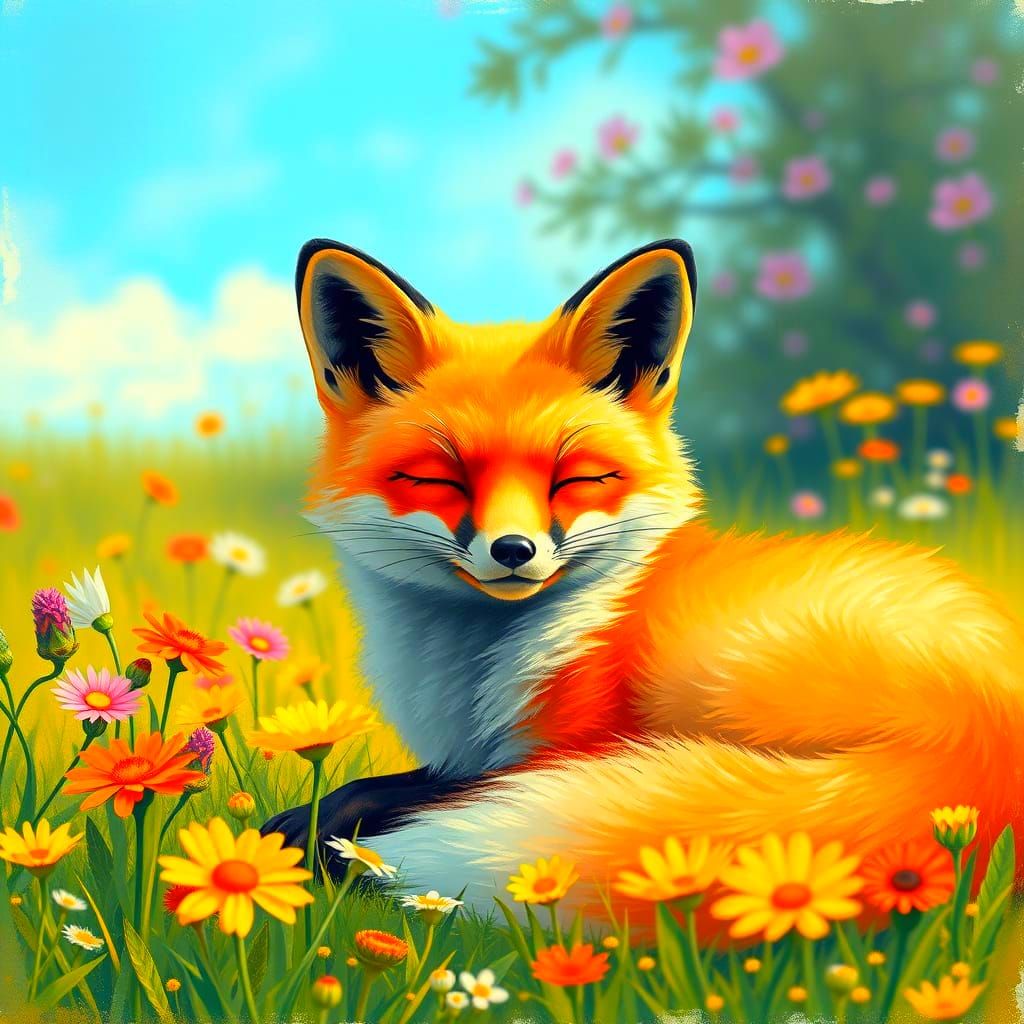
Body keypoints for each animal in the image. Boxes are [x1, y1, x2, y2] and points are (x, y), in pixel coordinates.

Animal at [264, 237, 1024, 927]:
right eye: (438, 481)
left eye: (577, 479)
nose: (513, 550)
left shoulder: (568, 746)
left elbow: (406, 793)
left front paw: (331, 836)